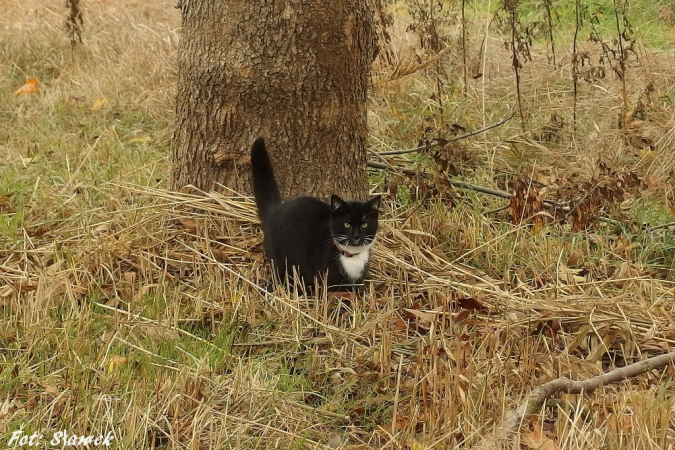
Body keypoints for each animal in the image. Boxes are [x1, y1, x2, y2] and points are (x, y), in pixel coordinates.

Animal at [252, 137, 382, 290]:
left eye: (364, 225)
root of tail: (275, 209)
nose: (356, 236)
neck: (351, 256)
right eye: (347, 224)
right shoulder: (325, 280)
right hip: (281, 258)